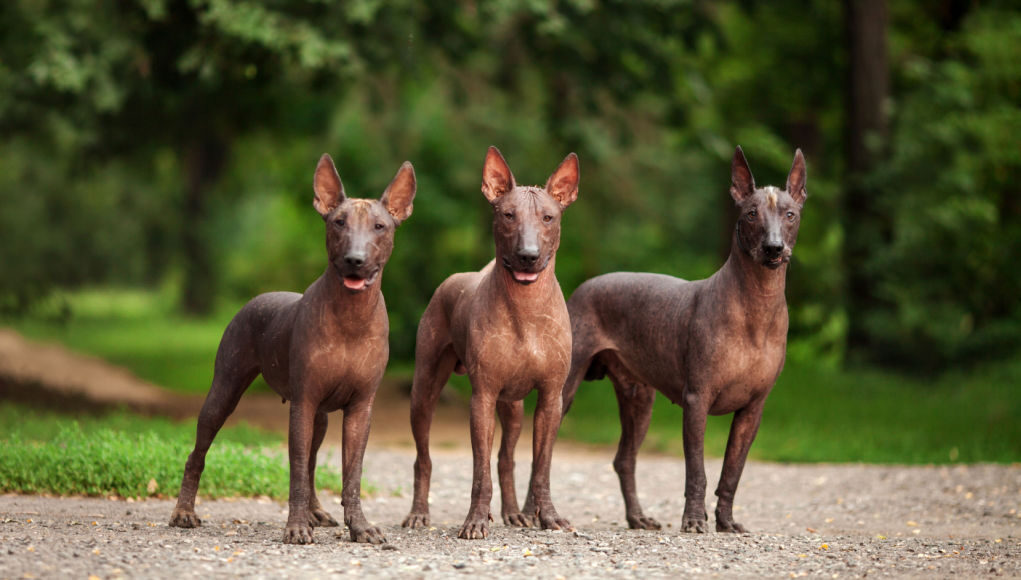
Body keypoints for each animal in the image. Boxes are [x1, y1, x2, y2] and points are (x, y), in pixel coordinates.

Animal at [406, 146, 584, 539]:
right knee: (423, 459)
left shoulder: (551, 398)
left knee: (507, 458)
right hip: (424, 391)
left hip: (513, 408)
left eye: (548, 217)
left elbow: (541, 467)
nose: (528, 255)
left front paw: (548, 516)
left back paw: (515, 513)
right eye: (507, 215)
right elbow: (479, 472)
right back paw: (418, 513)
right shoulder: (482, 398)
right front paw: (475, 519)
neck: (526, 308)